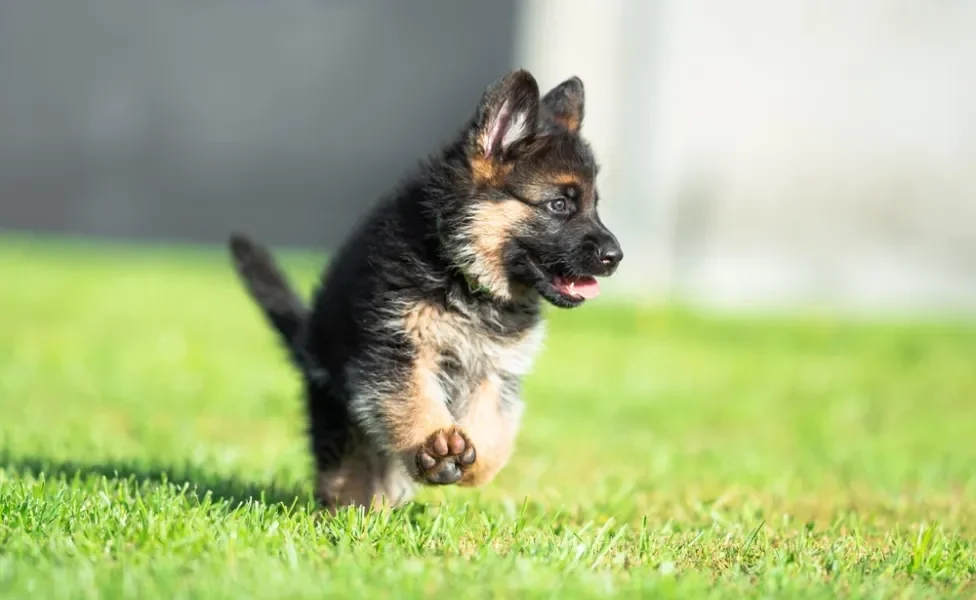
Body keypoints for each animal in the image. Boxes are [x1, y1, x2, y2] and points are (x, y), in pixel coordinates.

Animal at [229, 70, 620, 510]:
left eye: (594, 205)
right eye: (559, 205)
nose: (616, 256)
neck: (464, 274)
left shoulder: (494, 369)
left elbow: (493, 431)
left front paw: (472, 464)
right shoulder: (396, 350)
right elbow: (412, 398)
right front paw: (436, 447)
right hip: (337, 413)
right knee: (349, 473)